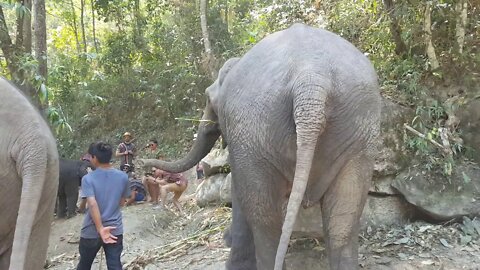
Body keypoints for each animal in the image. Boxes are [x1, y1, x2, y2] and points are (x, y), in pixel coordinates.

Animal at [141, 23, 380, 270]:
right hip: (358, 128)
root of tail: (311, 79)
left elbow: (239, 191)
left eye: (208, 99)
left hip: (257, 131)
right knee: (344, 217)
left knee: (264, 217)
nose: (143, 163)